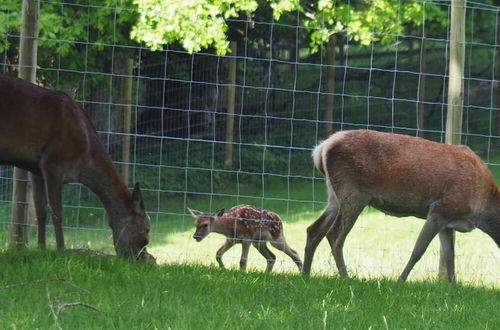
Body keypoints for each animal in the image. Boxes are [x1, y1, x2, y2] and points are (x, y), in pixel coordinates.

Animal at [0, 74, 152, 260]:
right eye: (146, 231)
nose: (141, 259)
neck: (84, 157)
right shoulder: (53, 163)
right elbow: (57, 213)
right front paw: (61, 249)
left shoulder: (35, 167)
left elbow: (41, 210)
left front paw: (41, 248)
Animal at [304, 129, 500, 282]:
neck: (481, 209)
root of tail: (322, 148)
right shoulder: (440, 209)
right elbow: (418, 250)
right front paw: (400, 281)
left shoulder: (448, 221)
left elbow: (449, 256)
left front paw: (453, 287)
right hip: (353, 193)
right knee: (335, 234)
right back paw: (346, 277)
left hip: (334, 196)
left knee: (313, 229)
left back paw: (305, 274)